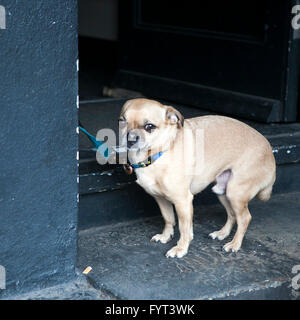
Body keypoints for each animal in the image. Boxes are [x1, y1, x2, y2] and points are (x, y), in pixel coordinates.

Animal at [119, 99, 276, 258]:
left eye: (149, 127)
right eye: (122, 121)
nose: (130, 139)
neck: (160, 153)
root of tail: (270, 152)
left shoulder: (183, 202)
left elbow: (184, 228)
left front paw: (181, 248)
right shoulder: (161, 199)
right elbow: (168, 219)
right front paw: (165, 236)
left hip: (235, 193)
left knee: (244, 218)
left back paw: (234, 244)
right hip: (222, 192)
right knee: (232, 215)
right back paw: (222, 234)